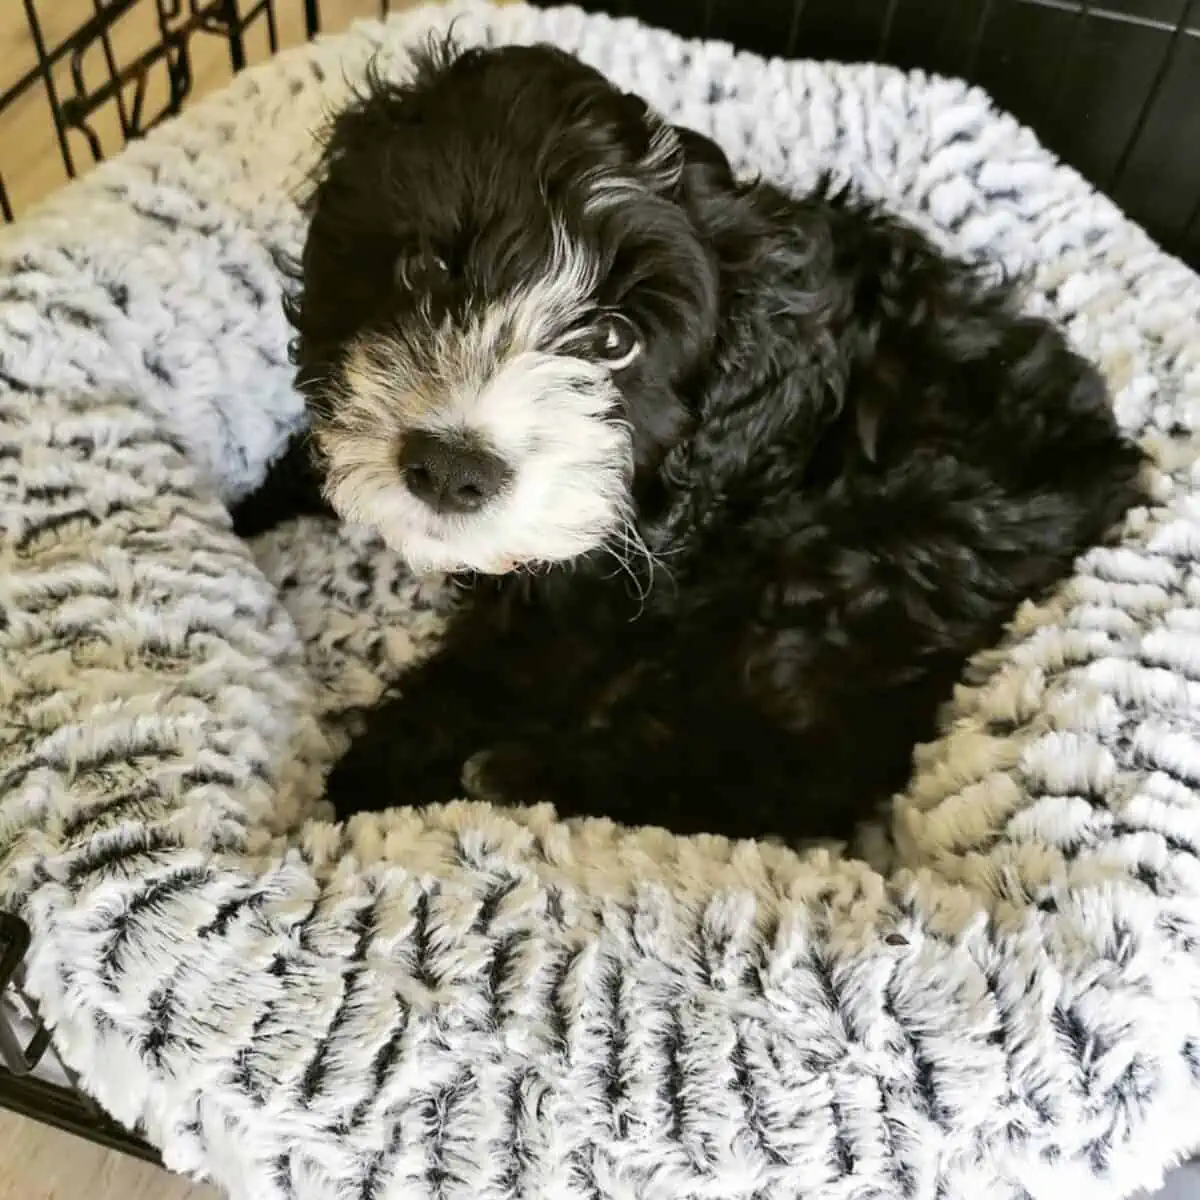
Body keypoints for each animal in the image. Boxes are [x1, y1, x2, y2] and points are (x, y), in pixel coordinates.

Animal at [234, 39, 1142, 844]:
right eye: (424, 272)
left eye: (614, 341)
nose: (453, 470)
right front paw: (256, 500)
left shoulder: (617, 578)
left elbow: (494, 668)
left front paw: (363, 785)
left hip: (868, 567)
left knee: (778, 768)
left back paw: (515, 774)